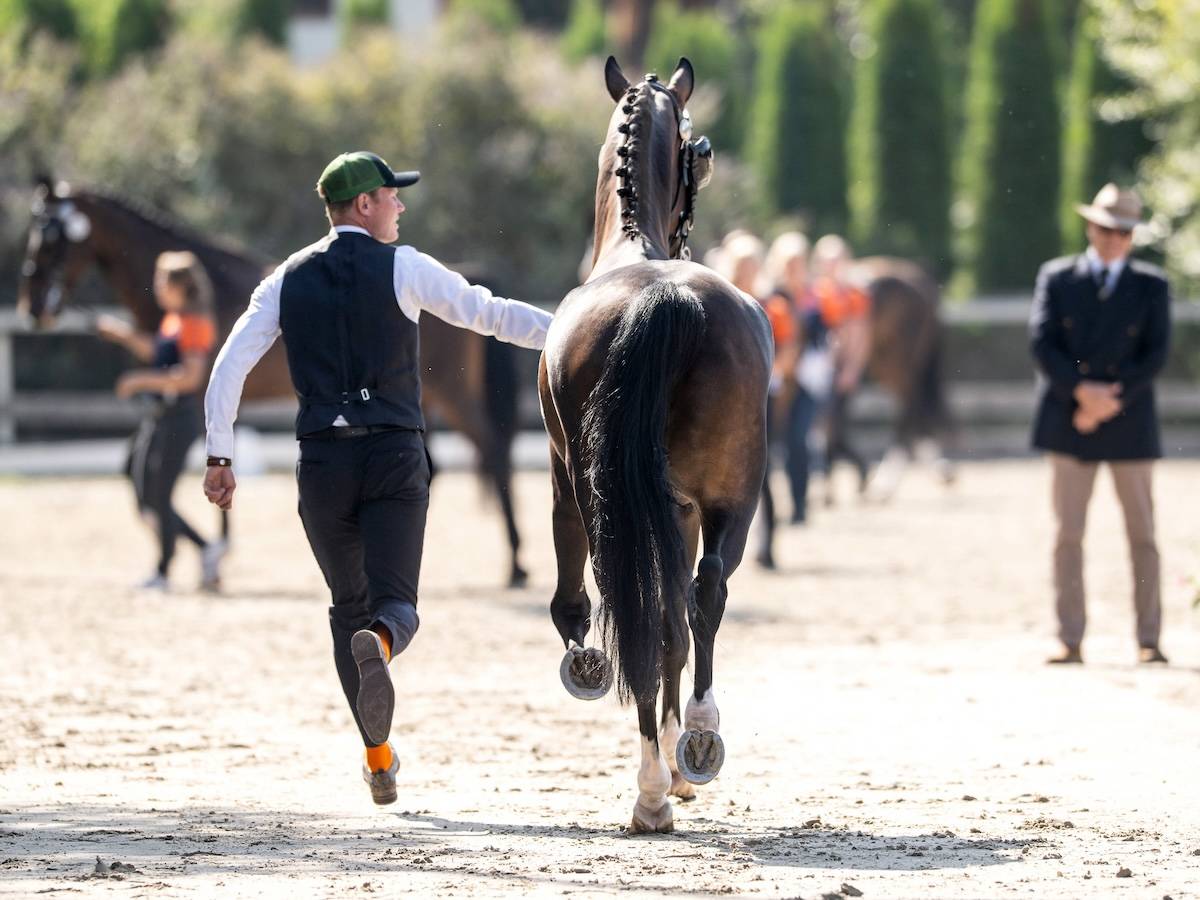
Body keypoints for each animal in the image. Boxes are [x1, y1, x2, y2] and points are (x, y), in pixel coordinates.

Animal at [16, 179, 530, 586]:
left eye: (54, 238)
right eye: (35, 233)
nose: (33, 305)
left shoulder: (193, 403)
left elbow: (165, 478)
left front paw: (196, 559)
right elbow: (148, 472)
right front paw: (200, 555)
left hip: (452, 392)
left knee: (492, 449)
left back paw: (516, 564)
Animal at [540, 57, 772, 834]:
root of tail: (661, 298)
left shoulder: (567, 480)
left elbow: (587, 606)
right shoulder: (685, 508)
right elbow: (673, 619)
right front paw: (677, 758)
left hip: (615, 495)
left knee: (648, 604)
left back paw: (653, 784)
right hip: (730, 498)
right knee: (698, 599)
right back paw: (694, 742)